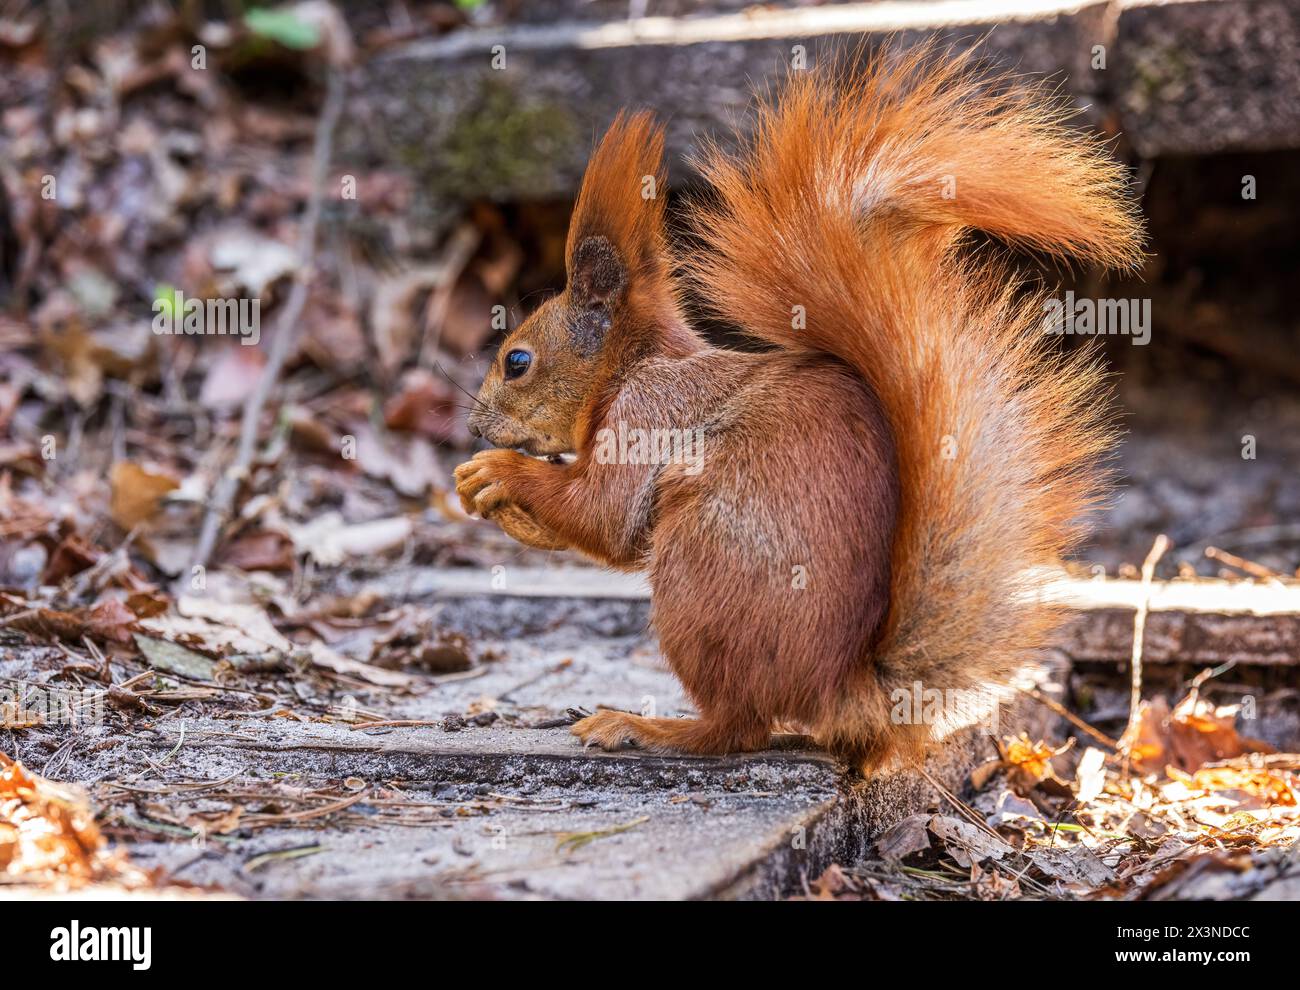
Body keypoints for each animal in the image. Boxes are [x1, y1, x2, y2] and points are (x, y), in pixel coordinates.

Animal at [455, 45, 1144, 772]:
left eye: (517, 361)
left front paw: (497, 474)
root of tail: (843, 689)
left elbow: (603, 515)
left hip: (701, 571)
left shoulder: (649, 413)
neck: (631, 368)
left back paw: (647, 727)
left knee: (737, 729)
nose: (473, 425)